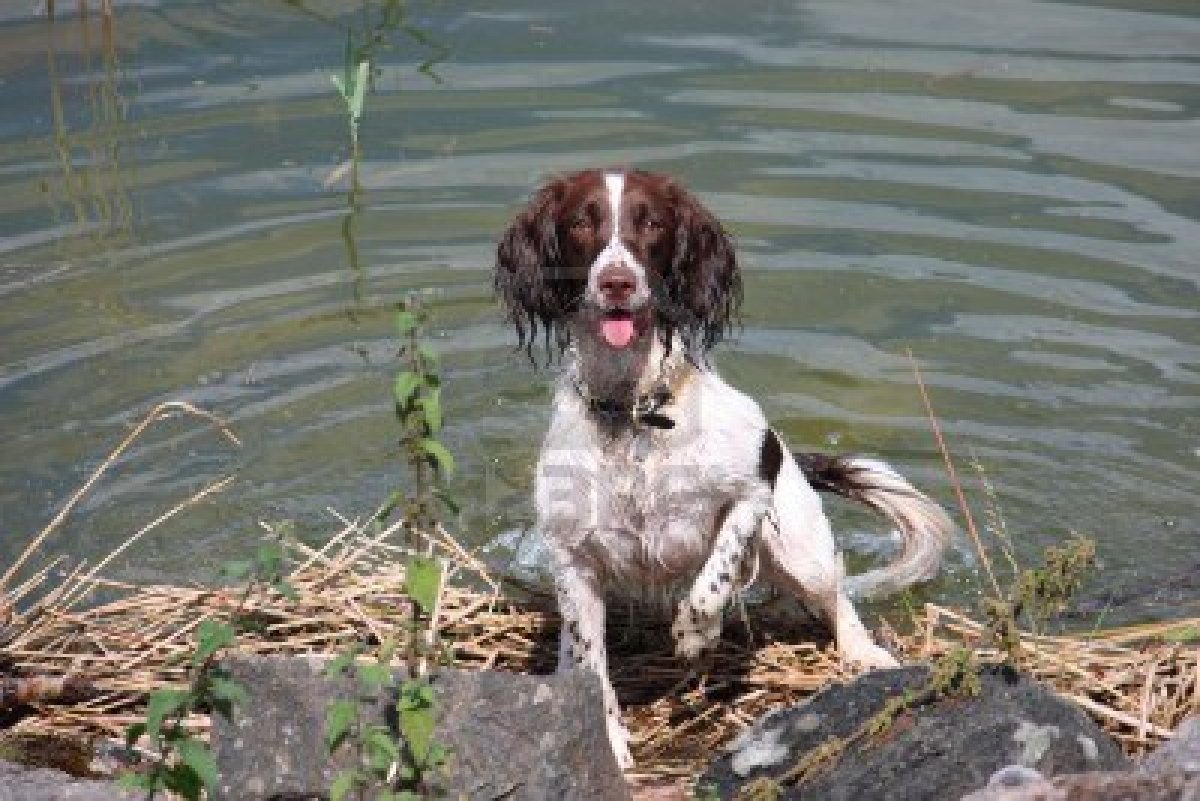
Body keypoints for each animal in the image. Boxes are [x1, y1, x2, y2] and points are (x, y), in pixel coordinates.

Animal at [492, 169, 950, 767]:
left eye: (652, 223)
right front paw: (607, 741)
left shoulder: (751, 493)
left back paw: (863, 653)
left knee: (835, 596)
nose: (617, 282)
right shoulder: (571, 557)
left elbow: (718, 570)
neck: (634, 415)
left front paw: (695, 633)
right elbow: (592, 663)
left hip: (801, 549)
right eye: (580, 222)